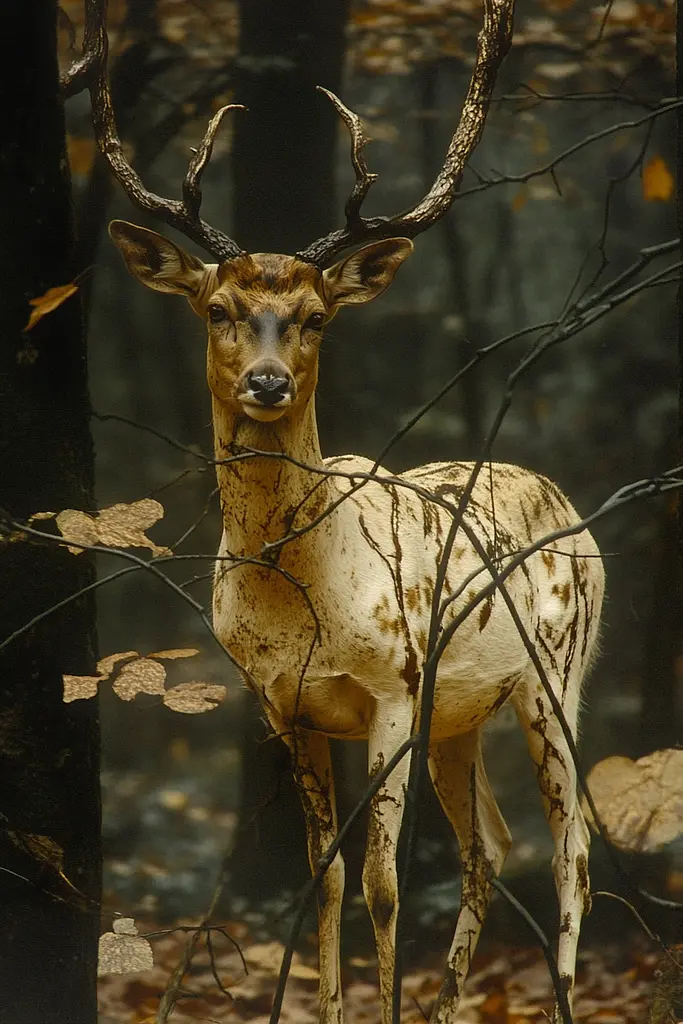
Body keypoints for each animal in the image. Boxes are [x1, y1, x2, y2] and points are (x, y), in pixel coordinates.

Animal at [92, 0, 602, 1015]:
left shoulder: (394, 686)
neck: (305, 596)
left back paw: (556, 996)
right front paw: (326, 1002)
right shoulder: (282, 703)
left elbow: (381, 882)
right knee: (493, 845)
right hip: (462, 715)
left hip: (554, 675)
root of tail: (568, 499)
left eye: (317, 316)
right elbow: (322, 878)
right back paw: (447, 1003)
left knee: (572, 851)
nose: (267, 381)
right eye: (217, 307)